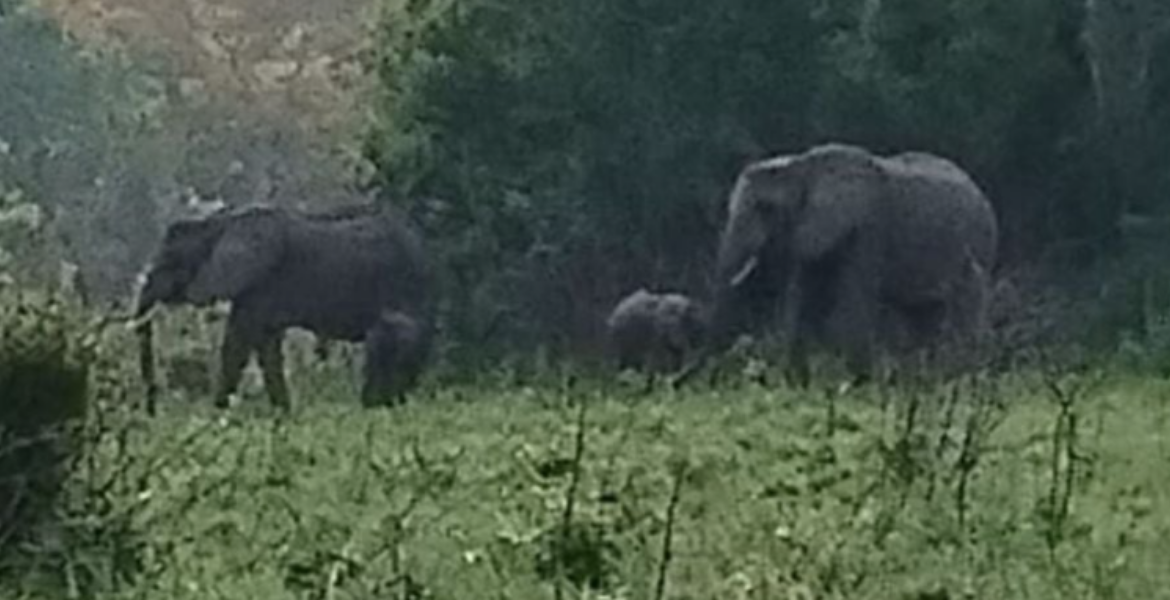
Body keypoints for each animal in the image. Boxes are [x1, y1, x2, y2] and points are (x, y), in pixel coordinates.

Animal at [133, 201, 436, 410]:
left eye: (170, 262)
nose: (151, 410)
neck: (218, 224)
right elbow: (266, 346)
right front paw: (283, 414)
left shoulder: (260, 282)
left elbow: (238, 342)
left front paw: (217, 413)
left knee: (391, 337)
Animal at [705, 142, 998, 385]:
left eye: (765, 208)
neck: (803, 166)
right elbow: (802, 304)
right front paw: (797, 383)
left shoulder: (867, 229)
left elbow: (853, 307)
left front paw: (855, 384)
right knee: (921, 319)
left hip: (976, 252)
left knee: (963, 316)